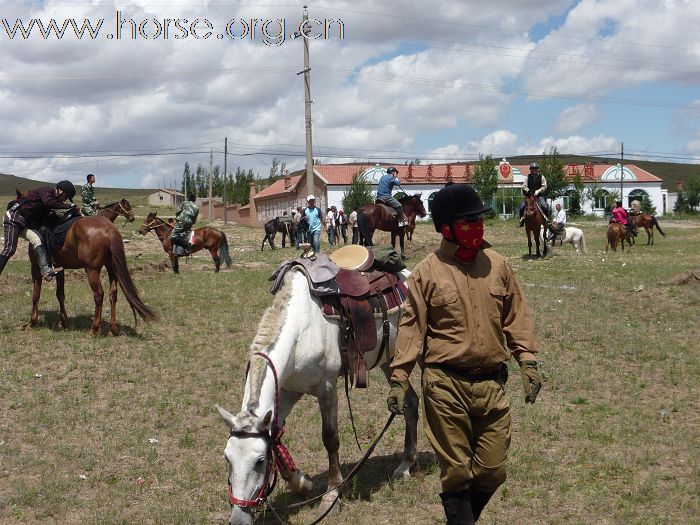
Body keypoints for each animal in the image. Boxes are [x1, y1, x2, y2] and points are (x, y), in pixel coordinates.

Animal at [27, 215, 157, 334]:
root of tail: (109, 229)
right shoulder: (60, 269)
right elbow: (60, 294)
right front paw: (62, 322)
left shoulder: (35, 267)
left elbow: (36, 294)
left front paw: (32, 322)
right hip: (111, 268)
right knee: (113, 294)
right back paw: (112, 329)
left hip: (92, 270)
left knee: (99, 294)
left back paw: (94, 329)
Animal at [216, 266, 418, 524]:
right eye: (227, 458)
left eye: (260, 461)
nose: (238, 518)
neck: (301, 330)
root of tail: (406, 275)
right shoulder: (289, 390)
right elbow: (276, 436)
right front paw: (302, 483)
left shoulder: (327, 387)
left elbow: (330, 439)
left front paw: (331, 496)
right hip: (390, 362)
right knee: (410, 402)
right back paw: (405, 465)